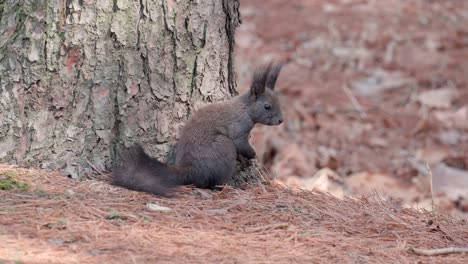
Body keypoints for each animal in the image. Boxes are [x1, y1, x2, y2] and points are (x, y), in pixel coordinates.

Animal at [111, 63, 284, 196]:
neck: (245, 109)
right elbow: (240, 144)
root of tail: (191, 170)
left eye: (278, 101)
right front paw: (252, 155)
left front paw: (246, 159)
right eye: (267, 106)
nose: (281, 120)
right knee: (214, 183)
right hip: (223, 146)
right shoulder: (238, 127)